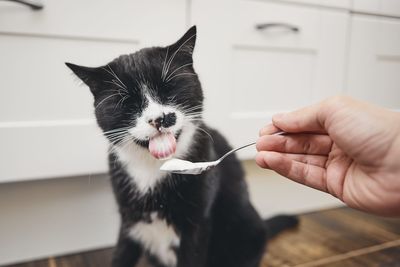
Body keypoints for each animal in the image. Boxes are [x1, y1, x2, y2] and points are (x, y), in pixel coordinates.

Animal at [65, 25, 296, 267]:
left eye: (169, 89)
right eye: (127, 102)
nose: (159, 118)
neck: (154, 168)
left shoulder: (197, 225)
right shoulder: (129, 220)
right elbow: (121, 255)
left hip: (247, 230)